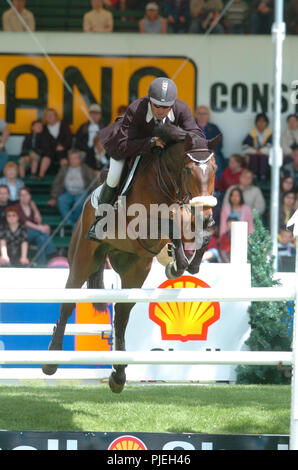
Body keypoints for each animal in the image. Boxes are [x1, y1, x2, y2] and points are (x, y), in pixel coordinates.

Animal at [42, 123, 221, 392]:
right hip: (83, 260)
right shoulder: (142, 227)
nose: (206, 216)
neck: (168, 183)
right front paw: (179, 263)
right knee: (68, 304)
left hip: (135, 268)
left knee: (122, 314)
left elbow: (200, 235)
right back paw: (51, 360)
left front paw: (182, 264)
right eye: (189, 169)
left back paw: (118, 374)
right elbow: (171, 227)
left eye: (215, 169)